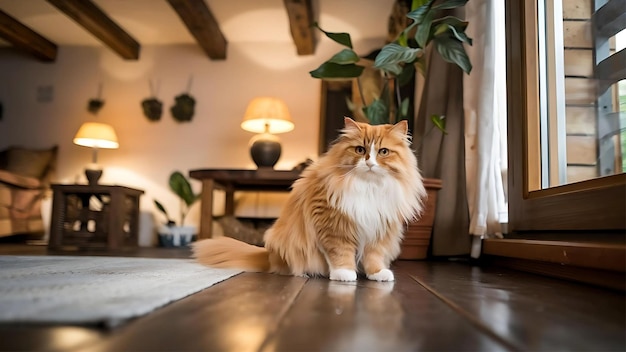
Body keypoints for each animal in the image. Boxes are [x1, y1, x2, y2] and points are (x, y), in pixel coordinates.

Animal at [193, 117, 426, 282]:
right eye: (360, 150)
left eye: (383, 152)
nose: (369, 163)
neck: (368, 188)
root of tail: (268, 255)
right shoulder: (333, 225)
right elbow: (341, 253)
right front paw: (344, 274)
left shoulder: (380, 229)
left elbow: (374, 256)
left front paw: (378, 274)